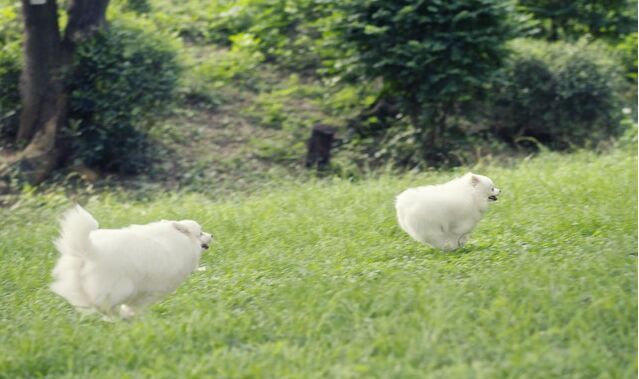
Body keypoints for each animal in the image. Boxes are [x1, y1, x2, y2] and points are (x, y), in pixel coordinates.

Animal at [50, 205, 214, 320]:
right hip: (122, 287)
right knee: (105, 306)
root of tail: (91, 250)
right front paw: (133, 316)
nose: (212, 235)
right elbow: (137, 305)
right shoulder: (151, 290)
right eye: (200, 233)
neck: (178, 241)